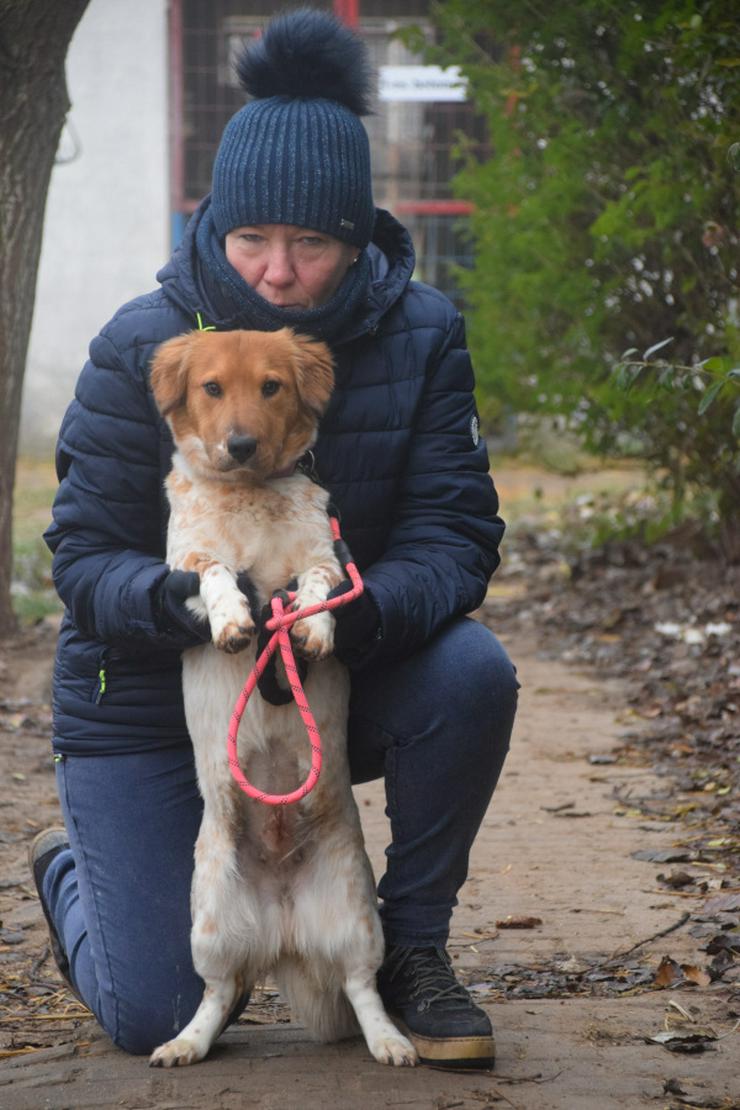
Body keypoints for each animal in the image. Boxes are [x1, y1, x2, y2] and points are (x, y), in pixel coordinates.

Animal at [144, 326, 417, 1065]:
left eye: (270, 386)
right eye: (212, 388)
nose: (240, 444)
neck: (250, 495)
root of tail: (285, 928)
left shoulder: (327, 557)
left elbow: (317, 584)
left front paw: (314, 628)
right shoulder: (185, 562)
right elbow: (215, 577)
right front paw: (235, 620)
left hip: (358, 918)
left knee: (362, 988)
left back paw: (390, 1041)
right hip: (209, 922)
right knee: (218, 994)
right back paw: (185, 1042)